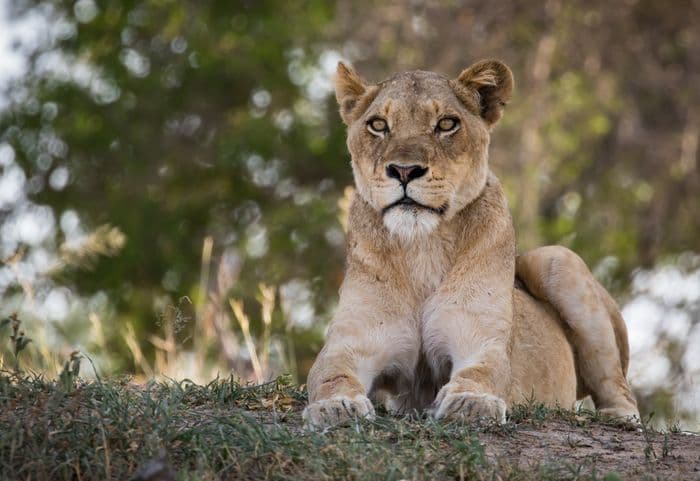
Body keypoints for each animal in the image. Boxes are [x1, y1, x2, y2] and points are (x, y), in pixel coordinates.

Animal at [303, 60, 639, 427]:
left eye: (446, 124)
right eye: (378, 125)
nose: (404, 171)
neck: (422, 246)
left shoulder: (482, 339)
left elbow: (482, 372)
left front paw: (470, 402)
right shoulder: (351, 342)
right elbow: (329, 374)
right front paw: (335, 406)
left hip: (557, 260)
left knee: (618, 389)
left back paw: (618, 419)